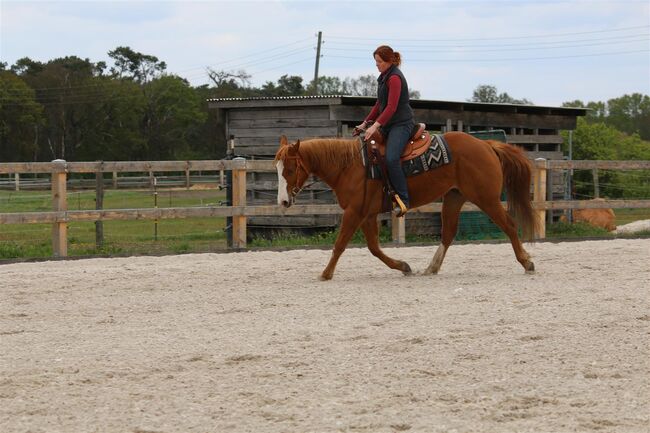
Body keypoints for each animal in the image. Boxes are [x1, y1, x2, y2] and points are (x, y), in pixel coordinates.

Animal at [274, 132, 536, 280]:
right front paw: (403, 266)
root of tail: (486, 144)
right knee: (448, 233)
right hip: (454, 197)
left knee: (510, 225)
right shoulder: (367, 214)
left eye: (290, 169)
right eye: (277, 168)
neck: (350, 166)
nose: (283, 202)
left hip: (486, 198)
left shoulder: (354, 212)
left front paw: (325, 274)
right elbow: (374, 248)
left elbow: (340, 244)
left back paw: (526, 262)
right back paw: (431, 268)